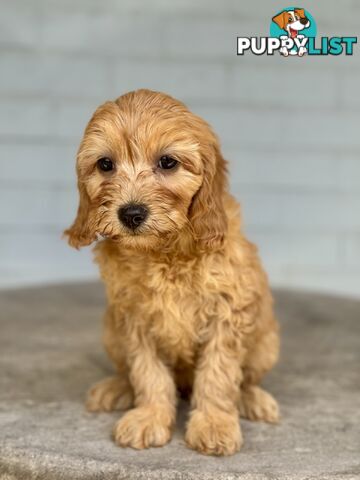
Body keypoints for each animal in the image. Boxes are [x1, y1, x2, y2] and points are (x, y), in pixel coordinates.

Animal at [64, 89, 278, 454]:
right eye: (105, 164)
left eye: (167, 162)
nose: (131, 214)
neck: (164, 250)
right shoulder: (134, 318)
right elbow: (148, 373)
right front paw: (149, 417)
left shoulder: (227, 312)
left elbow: (219, 374)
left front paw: (214, 423)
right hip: (110, 332)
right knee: (128, 372)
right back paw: (116, 388)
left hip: (266, 342)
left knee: (245, 378)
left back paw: (253, 399)